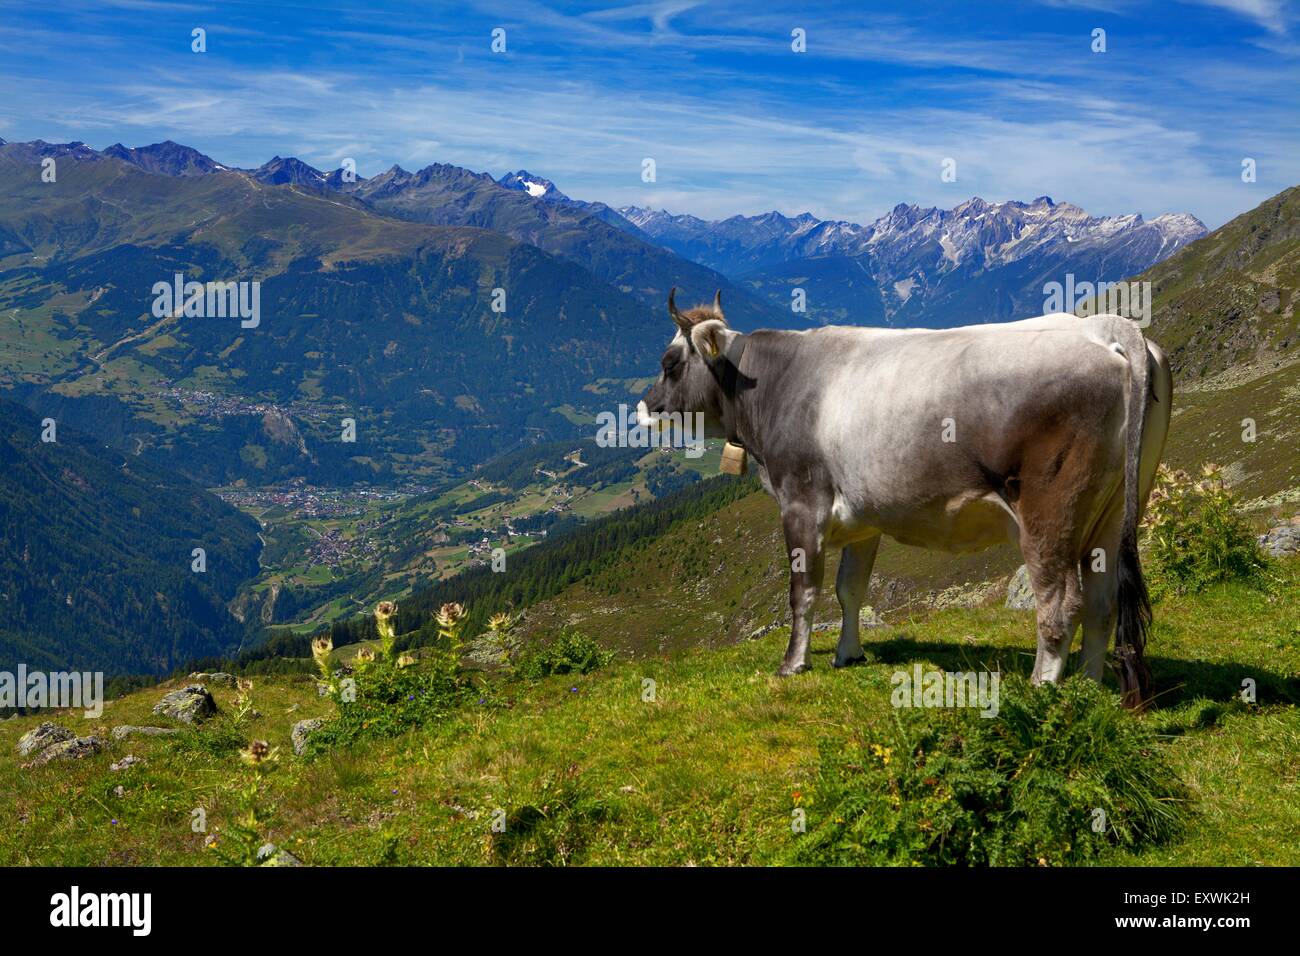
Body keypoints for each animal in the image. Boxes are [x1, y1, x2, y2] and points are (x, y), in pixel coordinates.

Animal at [634, 291, 1175, 712]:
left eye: (669, 363)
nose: (645, 407)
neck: (774, 384)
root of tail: (1104, 329)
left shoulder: (801, 505)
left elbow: (803, 592)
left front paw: (793, 663)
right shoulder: (864, 519)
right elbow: (850, 590)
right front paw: (848, 654)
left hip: (1049, 511)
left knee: (1060, 601)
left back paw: (1043, 688)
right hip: (1112, 515)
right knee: (1103, 601)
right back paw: (1087, 684)